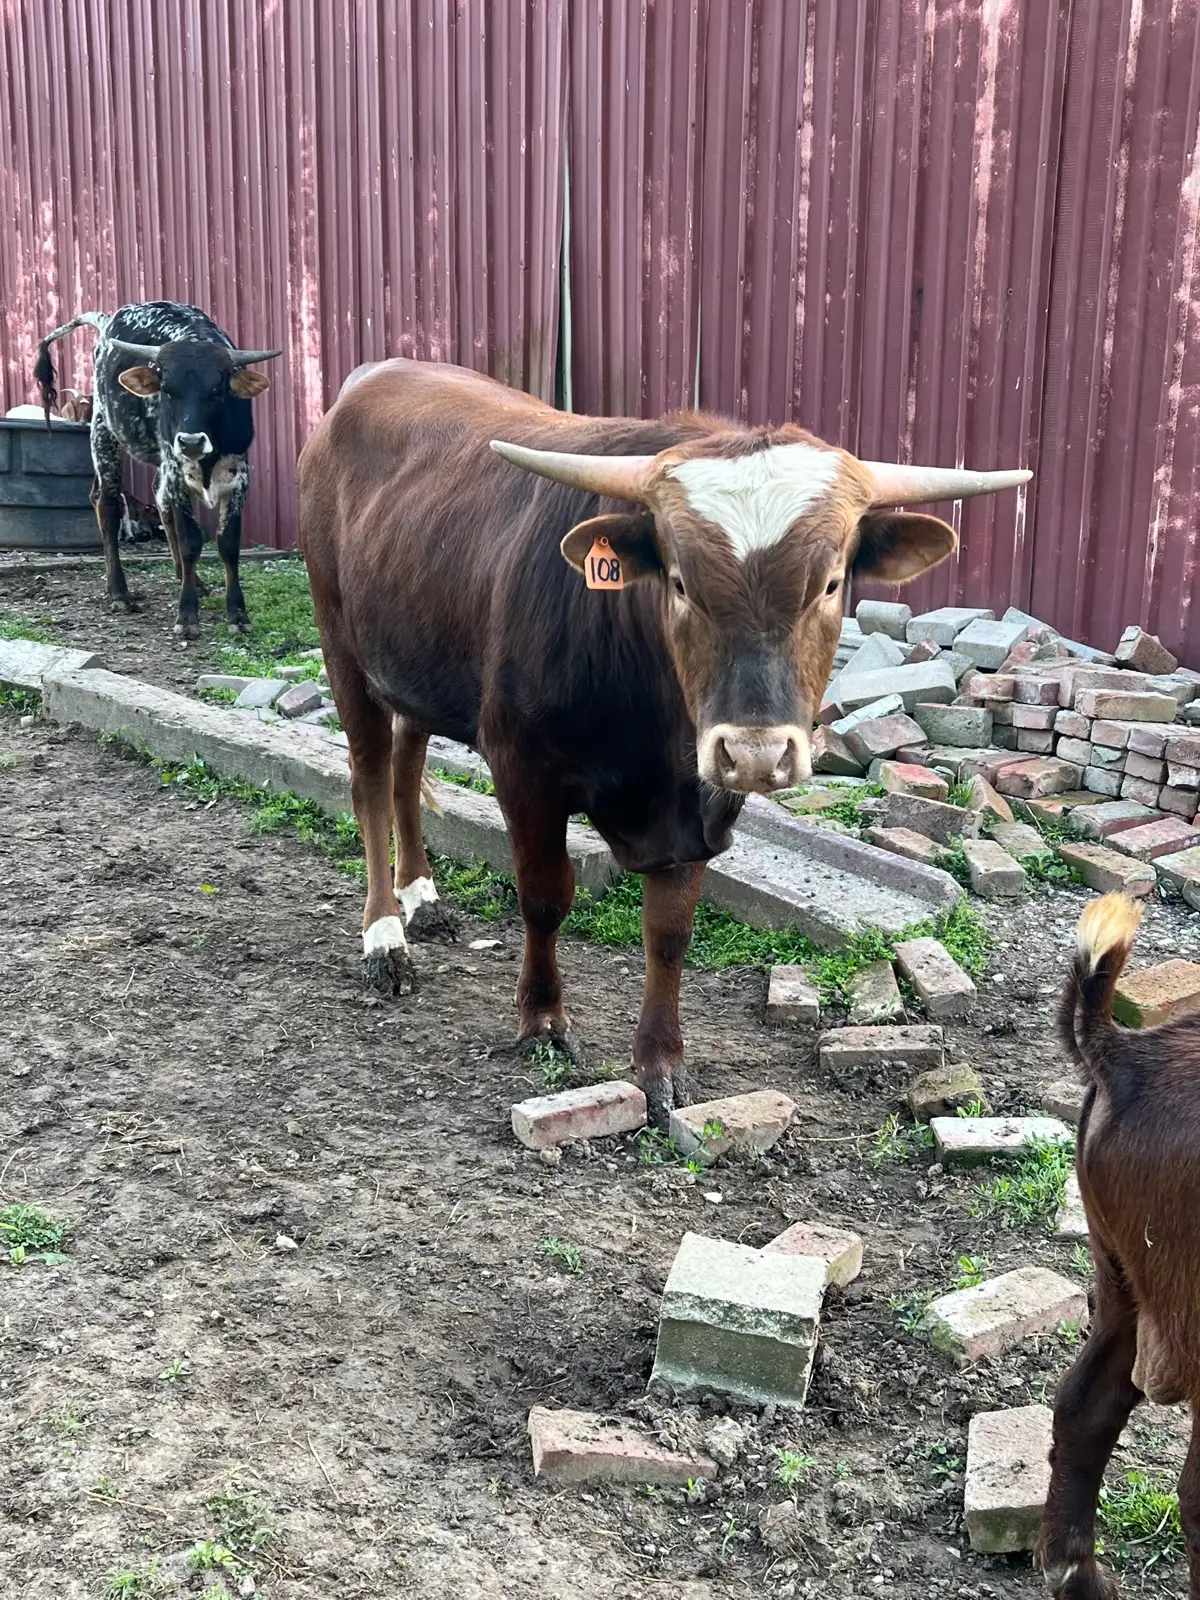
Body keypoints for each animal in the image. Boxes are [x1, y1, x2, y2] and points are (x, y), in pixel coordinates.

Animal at [33, 301, 279, 638]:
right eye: (167, 390)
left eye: (218, 390)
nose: (191, 441)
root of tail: (108, 321)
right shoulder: (177, 472)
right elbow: (191, 541)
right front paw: (186, 615)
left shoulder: (239, 477)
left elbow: (228, 544)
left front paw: (237, 614)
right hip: (105, 431)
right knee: (107, 503)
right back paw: (120, 593)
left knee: (159, 502)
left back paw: (191, 580)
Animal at [298, 358, 1028, 1126]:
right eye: (680, 582)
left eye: (831, 583)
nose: (757, 754)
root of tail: (375, 376)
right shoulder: (523, 771)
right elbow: (545, 896)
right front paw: (542, 1019)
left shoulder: (698, 806)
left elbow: (669, 933)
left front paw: (659, 1064)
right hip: (341, 644)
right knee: (371, 780)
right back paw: (385, 935)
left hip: (411, 662)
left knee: (408, 763)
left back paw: (422, 896)